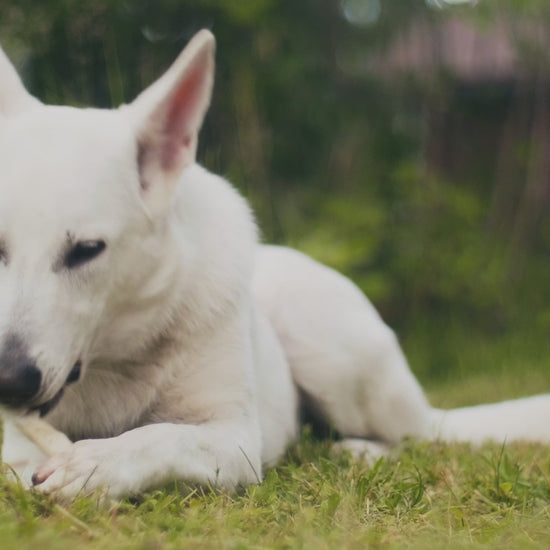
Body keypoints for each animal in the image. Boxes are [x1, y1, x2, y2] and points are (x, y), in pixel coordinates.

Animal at [1, 30, 550, 502]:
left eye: (87, 250)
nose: (8, 379)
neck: (115, 355)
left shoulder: (234, 438)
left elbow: (162, 437)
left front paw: (95, 464)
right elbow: (25, 454)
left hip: (325, 347)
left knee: (419, 438)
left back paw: (362, 451)